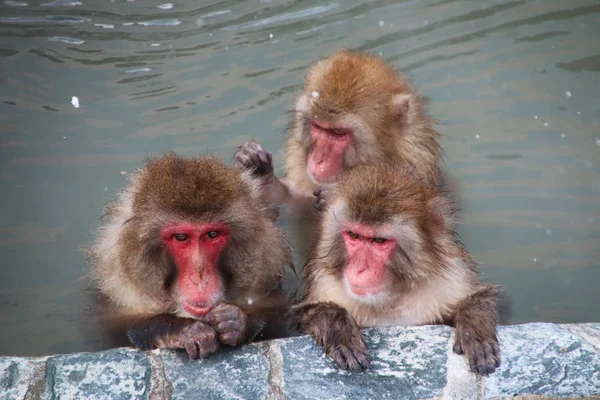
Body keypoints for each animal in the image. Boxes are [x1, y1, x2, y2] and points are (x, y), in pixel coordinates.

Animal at [290, 164, 502, 376]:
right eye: (353, 235)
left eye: (379, 241)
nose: (360, 269)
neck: (387, 301)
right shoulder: (324, 283)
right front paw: (337, 327)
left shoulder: (450, 280)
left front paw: (474, 327)